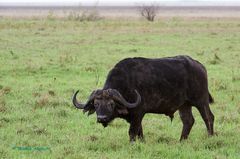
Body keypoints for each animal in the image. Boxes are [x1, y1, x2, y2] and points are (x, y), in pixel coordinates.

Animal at [72, 55, 215, 142]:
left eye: (111, 104)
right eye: (96, 104)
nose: (102, 118)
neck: (126, 84)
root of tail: (200, 66)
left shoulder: (138, 113)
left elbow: (132, 132)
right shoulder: (135, 117)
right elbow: (139, 132)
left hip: (201, 101)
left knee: (208, 117)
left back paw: (210, 137)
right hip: (184, 105)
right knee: (188, 121)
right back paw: (181, 141)